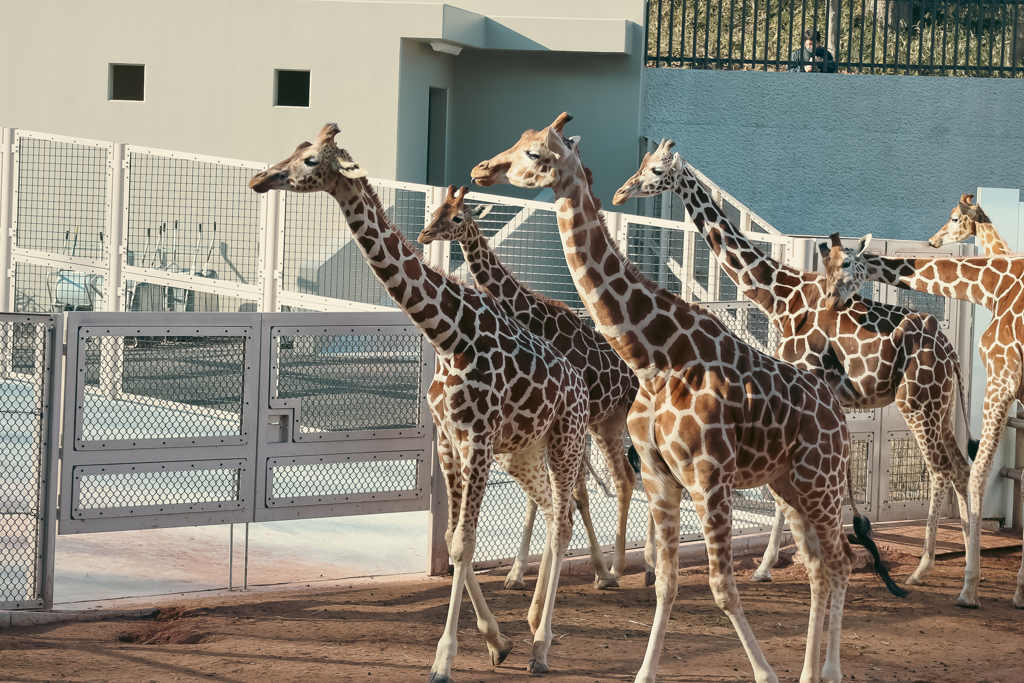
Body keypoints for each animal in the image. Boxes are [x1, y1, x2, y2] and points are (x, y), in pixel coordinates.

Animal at [247, 122, 593, 679]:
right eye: (297, 148)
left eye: (311, 161)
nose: (260, 178)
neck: (448, 336)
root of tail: (579, 382)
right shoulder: (449, 441)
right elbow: (452, 543)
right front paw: (497, 641)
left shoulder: (477, 441)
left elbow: (464, 543)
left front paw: (444, 660)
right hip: (525, 449)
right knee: (548, 510)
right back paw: (532, 627)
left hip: (565, 440)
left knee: (563, 521)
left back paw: (541, 645)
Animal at [413, 184, 638, 589]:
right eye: (437, 210)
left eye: (457, 216)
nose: (424, 235)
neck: (533, 315)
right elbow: (549, 495)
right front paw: (518, 573)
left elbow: (572, 493)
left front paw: (564, 570)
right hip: (606, 422)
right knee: (625, 479)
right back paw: (618, 568)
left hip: (621, 418)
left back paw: (625, 569)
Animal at [471, 113, 905, 683]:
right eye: (519, 142)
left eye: (537, 154)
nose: (481, 169)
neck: (655, 357)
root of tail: (833, 406)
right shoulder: (660, 475)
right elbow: (666, 583)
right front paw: (643, 672)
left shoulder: (708, 475)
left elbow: (722, 587)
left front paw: (764, 673)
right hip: (788, 482)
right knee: (818, 565)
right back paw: (811, 672)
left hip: (821, 479)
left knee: (842, 561)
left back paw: (828, 671)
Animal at [610, 140, 970, 589]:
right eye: (643, 164)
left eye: (657, 171)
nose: (619, 193)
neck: (781, 297)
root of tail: (950, 352)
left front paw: (767, 567)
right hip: (940, 404)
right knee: (962, 467)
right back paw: (964, 575)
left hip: (917, 401)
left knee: (941, 470)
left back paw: (924, 569)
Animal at [823, 231, 1024, 610]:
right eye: (825, 264)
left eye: (846, 263)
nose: (830, 299)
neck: (997, 286)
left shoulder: (1003, 377)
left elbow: (978, 472)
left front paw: (970, 588)